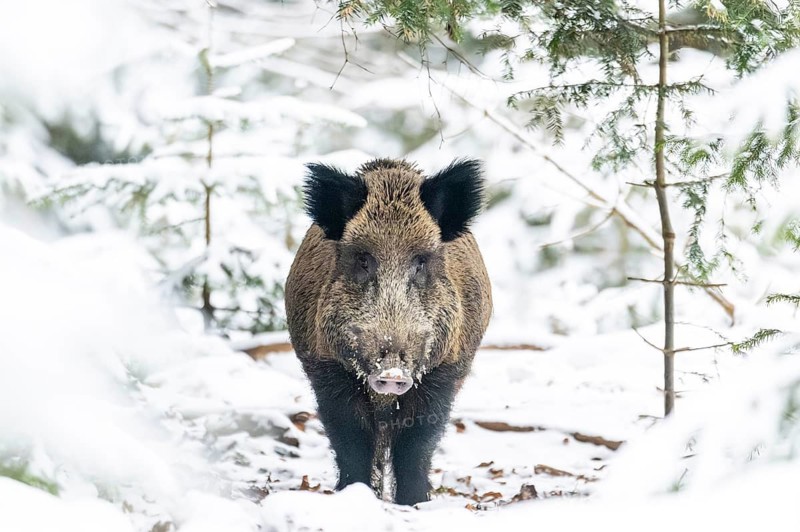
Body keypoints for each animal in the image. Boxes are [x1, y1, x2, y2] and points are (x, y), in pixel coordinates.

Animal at [284, 158, 492, 505]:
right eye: (363, 260)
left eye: (421, 261)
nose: (392, 373)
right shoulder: (326, 369)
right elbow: (351, 441)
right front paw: (354, 496)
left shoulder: (446, 371)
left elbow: (416, 444)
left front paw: (414, 503)